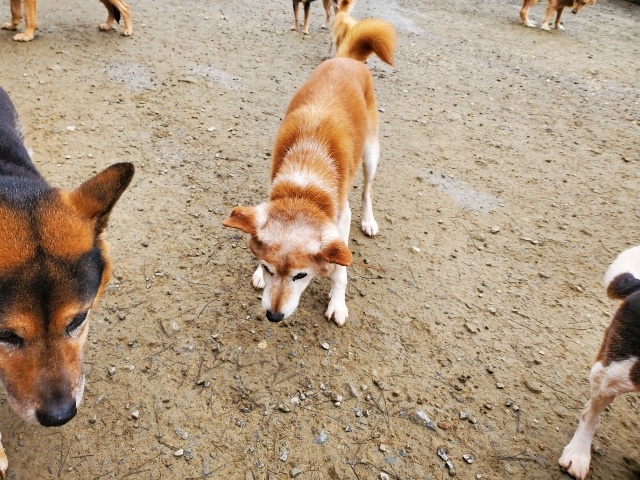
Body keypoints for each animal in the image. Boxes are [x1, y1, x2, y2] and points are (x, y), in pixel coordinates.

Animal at [1, 0, 132, 42]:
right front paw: (12, 26)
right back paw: (107, 25)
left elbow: (29, 17)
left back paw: (128, 29)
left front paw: (27, 35)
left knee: (125, 7)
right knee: (111, 9)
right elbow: (15, 11)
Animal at [223, 14, 395, 327]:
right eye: (268, 268)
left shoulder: (341, 220)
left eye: (301, 275)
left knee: (367, 190)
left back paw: (369, 221)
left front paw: (337, 302)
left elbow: (340, 269)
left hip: (370, 154)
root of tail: (346, 59)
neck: (303, 185)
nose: (273, 315)